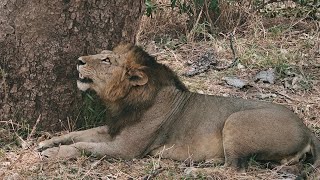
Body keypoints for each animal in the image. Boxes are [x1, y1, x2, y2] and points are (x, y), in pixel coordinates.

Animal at [38, 43, 320, 176]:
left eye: (106, 60)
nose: (78, 60)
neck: (125, 101)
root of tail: (307, 130)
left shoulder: (126, 149)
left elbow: (83, 146)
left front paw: (52, 154)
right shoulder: (113, 129)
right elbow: (78, 134)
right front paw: (47, 142)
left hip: (236, 121)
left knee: (234, 168)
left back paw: (194, 169)